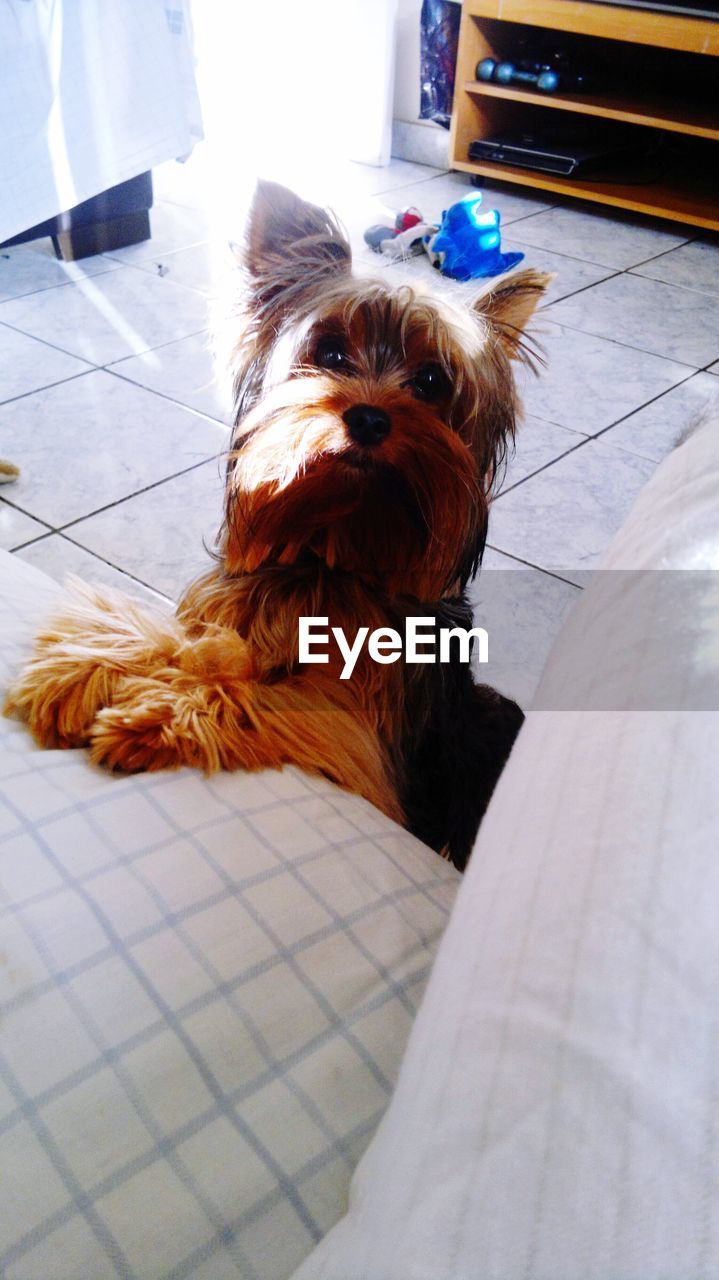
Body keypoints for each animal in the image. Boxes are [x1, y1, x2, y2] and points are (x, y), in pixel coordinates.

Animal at [4, 180, 547, 870]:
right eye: (331, 353)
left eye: (431, 381)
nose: (369, 417)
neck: (331, 549)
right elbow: (182, 640)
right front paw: (87, 666)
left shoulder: (360, 732)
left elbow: (278, 696)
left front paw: (164, 712)